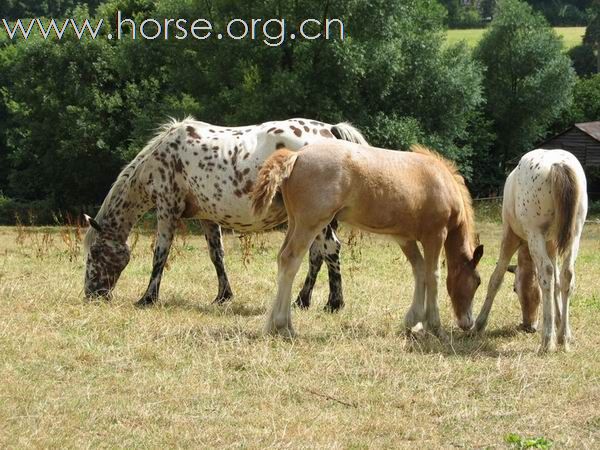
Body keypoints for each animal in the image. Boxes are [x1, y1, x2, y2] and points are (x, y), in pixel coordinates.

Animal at [84, 116, 366, 308]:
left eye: (94, 253)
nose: (91, 294)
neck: (161, 158)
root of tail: (329, 130)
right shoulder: (207, 217)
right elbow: (216, 255)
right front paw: (223, 296)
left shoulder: (167, 208)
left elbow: (160, 254)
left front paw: (148, 298)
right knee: (317, 255)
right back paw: (302, 301)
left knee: (331, 249)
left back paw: (334, 303)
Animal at [251, 142, 486, 336]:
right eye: (477, 282)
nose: (467, 323)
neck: (442, 182)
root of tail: (296, 155)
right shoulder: (435, 235)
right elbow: (433, 275)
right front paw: (434, 326)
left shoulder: (405, 238)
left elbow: (419, 270)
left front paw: (413, 320)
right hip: (310, 224)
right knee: (290, 259)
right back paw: (282, 326)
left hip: (295, 222)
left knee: (281, 258)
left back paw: (278, 325)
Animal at [476, 149, 588, 354]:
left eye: (515, 288)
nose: (528, 326)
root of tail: (558, 164)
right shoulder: (551, 244)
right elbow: (558, 284)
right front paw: (561, 325)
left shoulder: (510, 237)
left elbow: (496, 278)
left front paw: (479, 324)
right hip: (575, 233)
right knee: (567, 274)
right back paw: (563, 338)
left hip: (535, 234)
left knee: (547, 273)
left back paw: (547, 341)